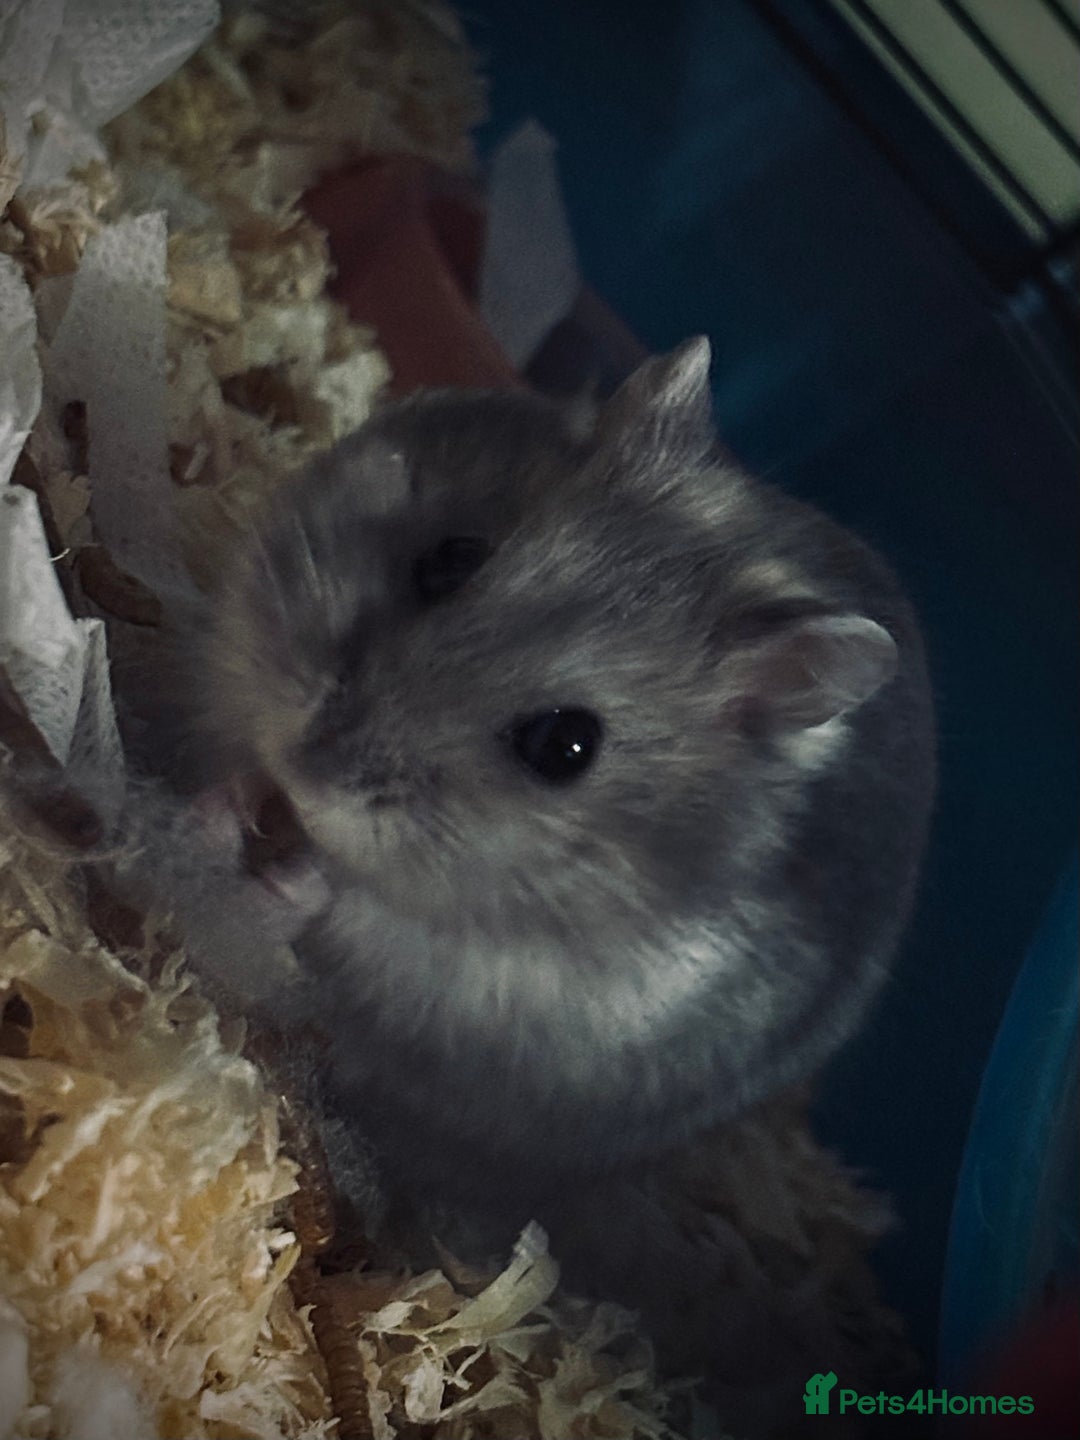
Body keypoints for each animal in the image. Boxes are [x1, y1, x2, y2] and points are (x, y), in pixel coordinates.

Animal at [176, 337, 934, 1213]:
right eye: (453, 559)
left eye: (566, 746)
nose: (308, 767)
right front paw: (223, 808)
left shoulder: (469, 981)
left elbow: (343, 909)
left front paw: (284, 874)